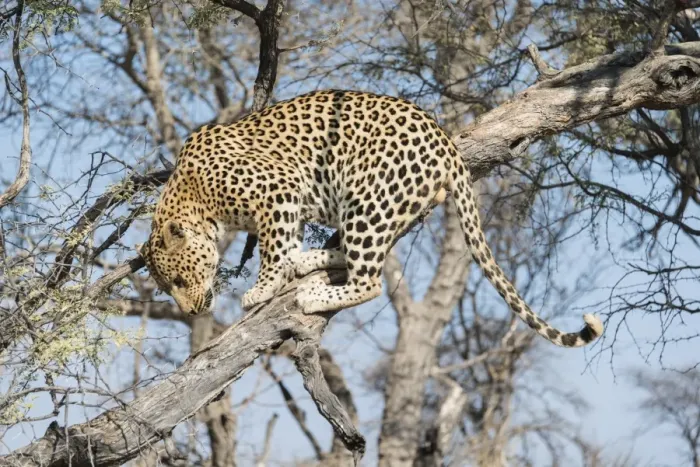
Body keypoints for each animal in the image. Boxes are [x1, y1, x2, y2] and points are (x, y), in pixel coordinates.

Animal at [138, 90, 603, 348]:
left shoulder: (279, 188)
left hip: (368, 198)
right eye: (167, 287)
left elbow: (273, 250)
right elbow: (286, 242)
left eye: (178, 280)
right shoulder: (287, 205)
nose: (191, 313)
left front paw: (262, 288)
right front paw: (288, 266)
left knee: (370, 280)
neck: (192, 195)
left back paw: (313, 295)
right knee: (352, 254)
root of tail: (446, 141)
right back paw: (310, 262)